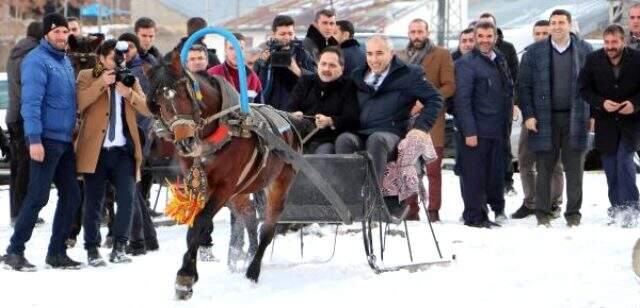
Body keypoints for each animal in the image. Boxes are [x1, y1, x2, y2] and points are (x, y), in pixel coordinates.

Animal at [146, 52, 304, 298]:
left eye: (184, 93)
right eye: (159, 103)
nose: (185, 142)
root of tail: (288, 122)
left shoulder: (224, 187)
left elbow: (200, 222)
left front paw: (185, 278)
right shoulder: (199, 184)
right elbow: (196, 224)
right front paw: (191, 271)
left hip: (279, 183)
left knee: (268, 227)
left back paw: (252, 271)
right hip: (240, 192)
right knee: (249, 217)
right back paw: (246, 255)